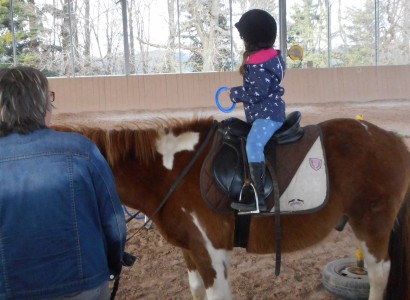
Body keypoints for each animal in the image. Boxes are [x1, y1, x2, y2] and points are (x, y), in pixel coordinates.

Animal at [52, 118, 408, 300]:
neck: (169, 171)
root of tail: (391, 138)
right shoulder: (191, 250)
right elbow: (196, 290)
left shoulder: (212, 252)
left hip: (372, 224)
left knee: (379, 275)